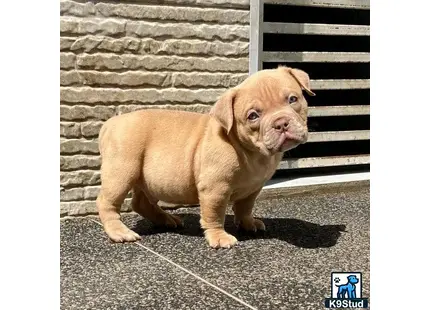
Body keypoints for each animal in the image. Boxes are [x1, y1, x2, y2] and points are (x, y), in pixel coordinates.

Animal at [95, 66, 314, 248]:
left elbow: (245, 207)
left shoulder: (253, 188)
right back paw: (119, 232)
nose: (281, 123)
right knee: (107, 202)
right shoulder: (215, 188)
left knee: (141, 203)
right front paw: (219, 237)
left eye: (293, 100)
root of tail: (110, 124)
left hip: (148, 179)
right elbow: (214, 214)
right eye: (253, 116)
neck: (253, 152)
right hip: (122, 172)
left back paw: (166, 220)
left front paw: (248, 223)